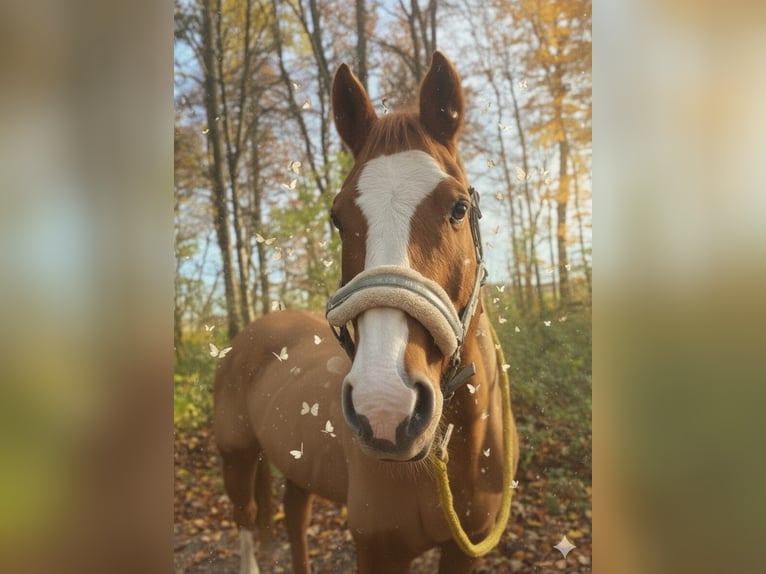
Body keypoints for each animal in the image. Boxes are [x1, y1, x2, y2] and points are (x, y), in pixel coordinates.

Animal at [213, 51, 519, 574]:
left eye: (458, 208)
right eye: (337, 217)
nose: (385, 407)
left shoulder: (466, 547)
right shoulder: (379, 548)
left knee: (295, 514)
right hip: (237, 456)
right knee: (247, 519)